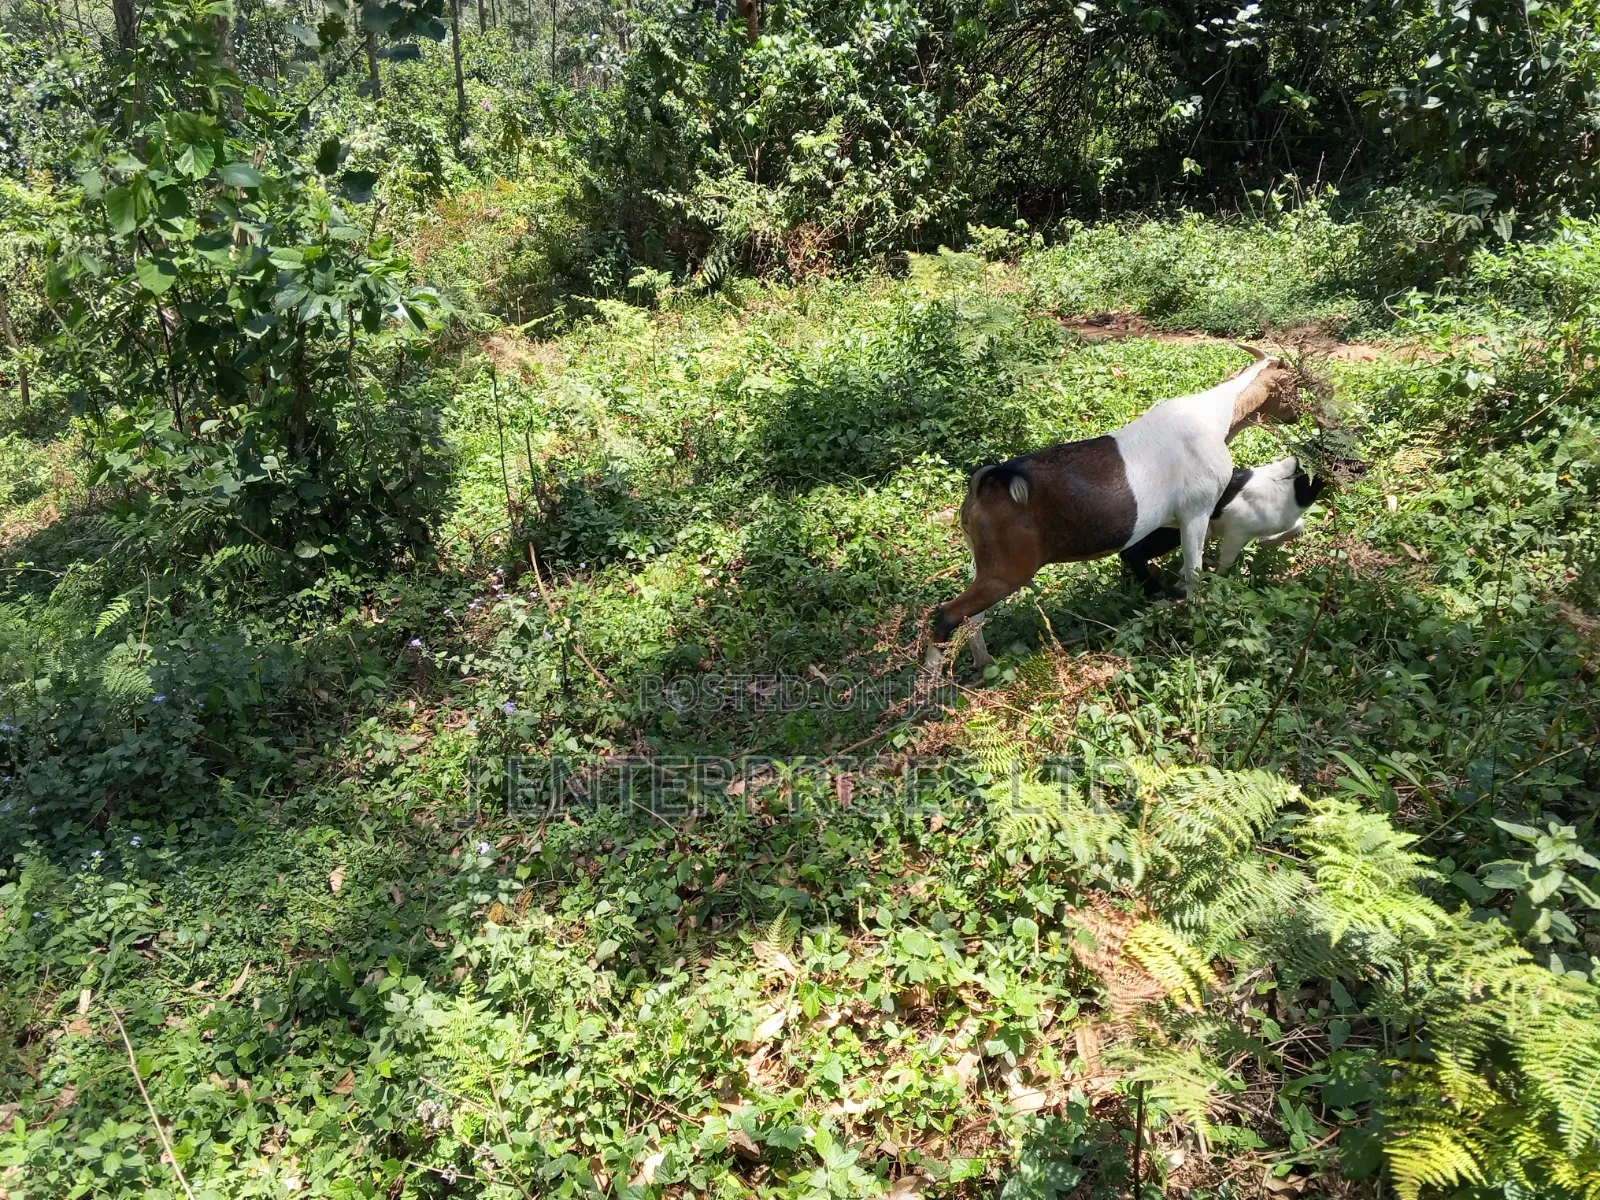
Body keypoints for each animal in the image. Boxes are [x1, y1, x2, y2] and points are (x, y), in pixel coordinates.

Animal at [929, 350, 1300, 670]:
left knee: (971, 619)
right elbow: (1194, 572)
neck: (1216, 414)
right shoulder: (1197, 511)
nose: (1299, 415)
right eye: (1294, 387)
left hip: (989, 566)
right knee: (947, 615)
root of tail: (988, 481)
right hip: (1008, 570)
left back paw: (983, 664)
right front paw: (1198, 617)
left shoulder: (1173, 521)